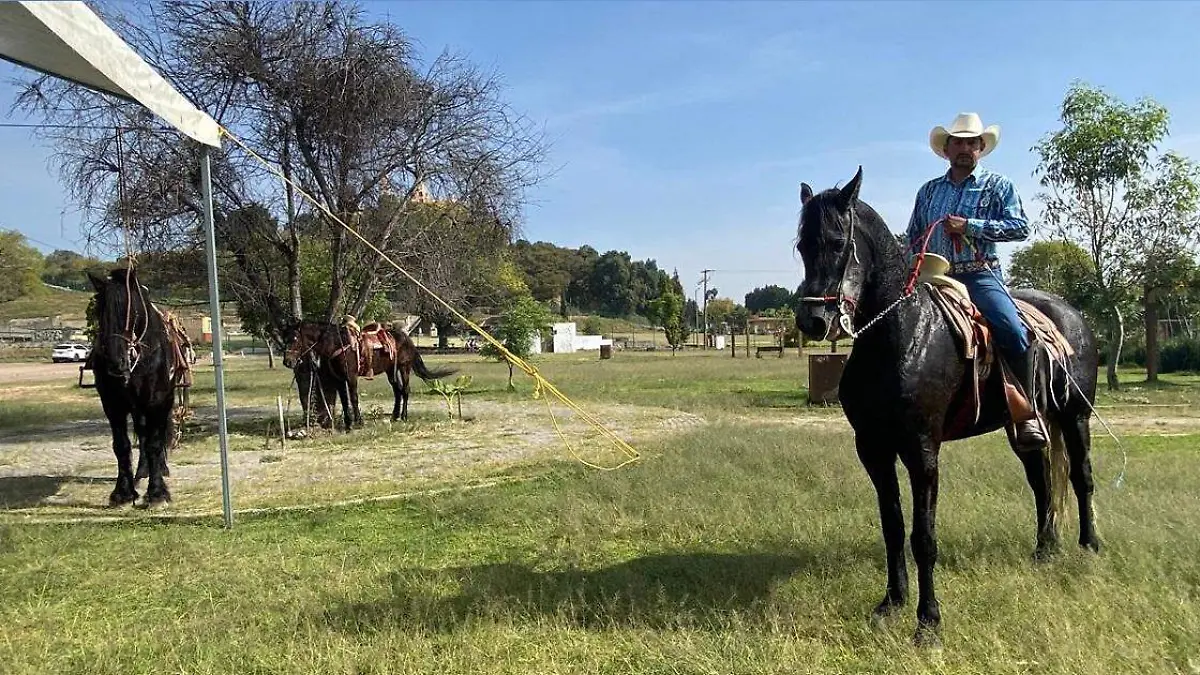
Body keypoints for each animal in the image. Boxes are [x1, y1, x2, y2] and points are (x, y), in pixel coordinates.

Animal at [87, 266, 175, 504]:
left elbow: (155, 443)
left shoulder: (156, 401)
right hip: (137, 409)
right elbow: (122, 445)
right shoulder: (112, 404)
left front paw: (157, 492)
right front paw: (123, 492)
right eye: (99, 311)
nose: (115, 362)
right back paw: (142, 472)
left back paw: (159, 469)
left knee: (156, 436)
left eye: (131, 311)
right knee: (142, 434)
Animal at [280, 319, 453, 425]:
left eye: (294, 338)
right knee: (397, 391)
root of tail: (406, 338)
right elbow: (344, 400)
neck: (337, 343)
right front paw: (348, 424)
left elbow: (354, 398)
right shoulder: (339, 379)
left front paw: (359, 422)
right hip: (390, 371)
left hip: (404, 368)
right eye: (284, 338)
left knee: (405, 390)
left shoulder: (351, 377)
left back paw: (403, 416)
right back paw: (394, 416)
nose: (287, 362)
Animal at [792, 165, 1099, 643]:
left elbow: (923, 536)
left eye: (838, 243)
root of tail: (1071, 316)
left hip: (1075, 416)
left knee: (1081, 476)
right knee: (1041, 481)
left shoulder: (922, 449)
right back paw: (1045, 549)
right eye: (803, 245)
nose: (812, 321)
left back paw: (1089, 547)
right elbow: (893, 527)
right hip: (1022, 428)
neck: (901, 334)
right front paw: (891, 603)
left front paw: (928, 621)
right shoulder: (873, 449)